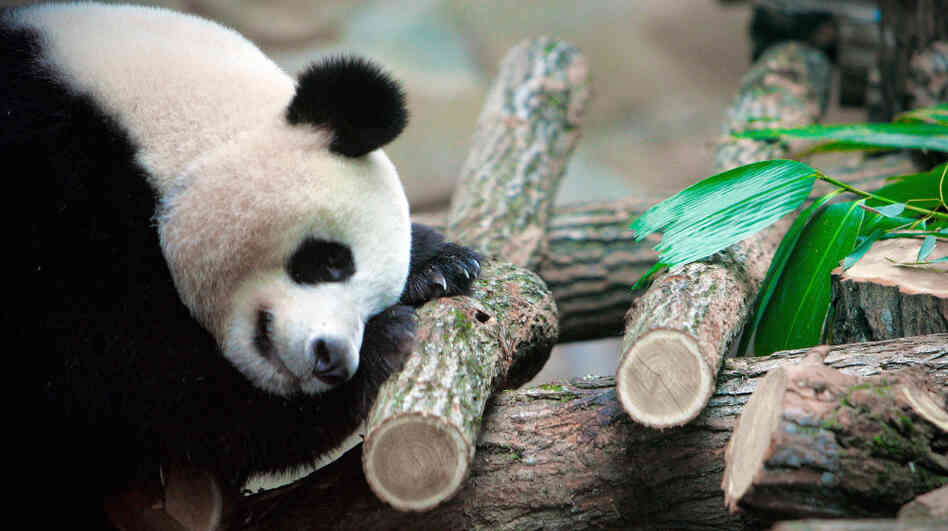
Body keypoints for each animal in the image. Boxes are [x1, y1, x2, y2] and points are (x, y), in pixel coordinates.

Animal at [3, 2, 480, 527]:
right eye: (333, 261)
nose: (333, 359)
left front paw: (441, 264)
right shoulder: (57, 191)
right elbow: (137, 382)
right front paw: (385, 342)